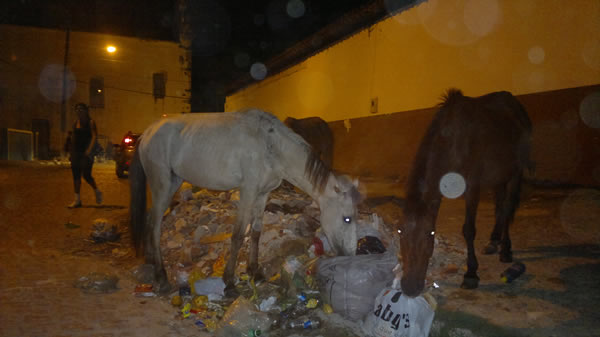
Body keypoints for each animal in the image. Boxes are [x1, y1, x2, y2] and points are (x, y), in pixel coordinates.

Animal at [129, 107, 358, 292]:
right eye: (347, 218)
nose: (349, 255)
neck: (271, 146)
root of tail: (147, 133)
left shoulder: (263, 194)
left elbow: (256, 232)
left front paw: (254, 271)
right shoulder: (248, 191)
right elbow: (238, 235)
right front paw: (229, 281)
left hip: (173, 182)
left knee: (150, 219)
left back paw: (150, 261)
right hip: (161, 183)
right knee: (156, 225)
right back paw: (161, 276)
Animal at [398, 88, 528, 296]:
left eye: (430, 234)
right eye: (400, 231)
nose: (410, 287)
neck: (453, 141)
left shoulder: (472, 188)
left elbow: (468, 230)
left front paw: (471, 274)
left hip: (515, 173)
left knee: (507, 208)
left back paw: (506, 250)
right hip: (498, 177)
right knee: (500, 207)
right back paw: (493, 242)